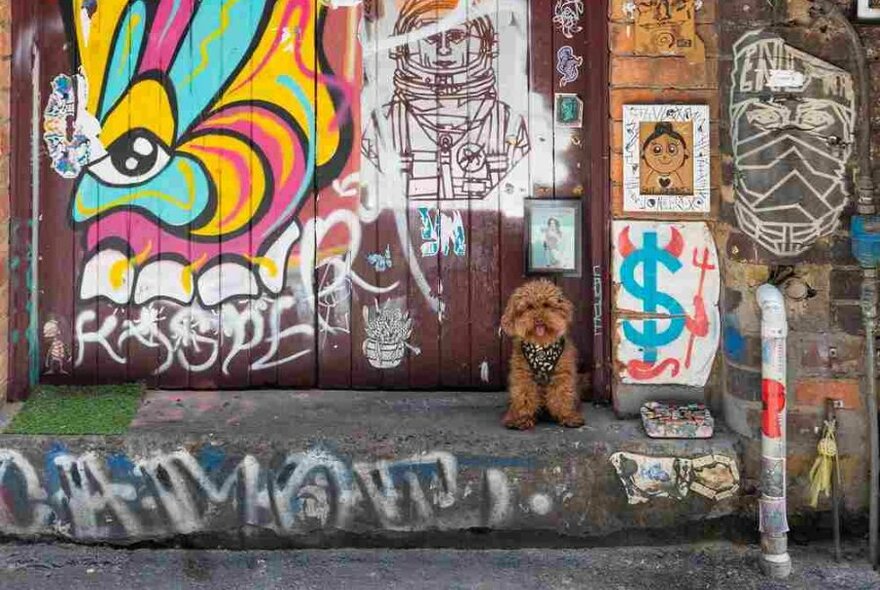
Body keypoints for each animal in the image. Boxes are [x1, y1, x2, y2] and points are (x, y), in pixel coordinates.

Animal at [502, 280, 584, 432]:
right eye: (529, 307)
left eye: (546, 305)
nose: (538, 319)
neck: (541, 346)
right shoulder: (523, 376)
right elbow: (524, 396)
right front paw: (522, 419)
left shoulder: (562, 374)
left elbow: (563, 395)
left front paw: (568, 416)